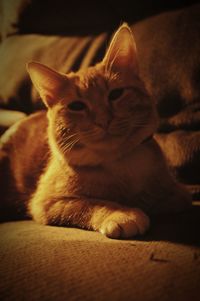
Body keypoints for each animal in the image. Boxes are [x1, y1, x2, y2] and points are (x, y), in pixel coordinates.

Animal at [0, 23, 191, 238]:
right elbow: (92, 203)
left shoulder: (178, 193)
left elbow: (171, 197)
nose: (103, 120)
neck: (118, 165)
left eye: (116, 94)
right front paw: (122, 213)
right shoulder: (47, 202)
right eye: (77, 106)